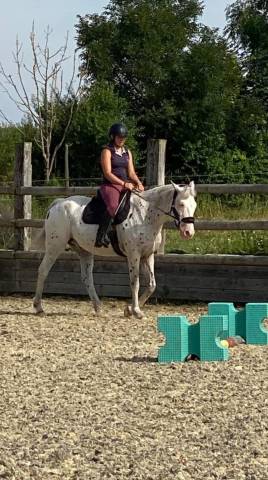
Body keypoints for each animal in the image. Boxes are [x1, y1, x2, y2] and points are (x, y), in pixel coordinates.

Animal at [33, 180, 197, 318]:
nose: (188, 232)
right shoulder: (134, 255)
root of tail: (58, 203)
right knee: (43, 270)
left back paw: (98, 307)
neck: (145, 215)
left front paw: (129, 309)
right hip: (55, 246)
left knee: (86, 278)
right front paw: (136, 311)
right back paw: (38, 307)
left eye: (194, 205)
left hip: (84, 251)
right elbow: (135, 282)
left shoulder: (148, 255)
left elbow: (152, 284)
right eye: (181, 204)